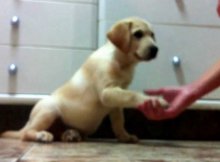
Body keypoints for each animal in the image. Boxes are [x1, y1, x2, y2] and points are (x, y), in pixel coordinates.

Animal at [0, 17, 165, 142]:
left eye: (152, 35)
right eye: (138, 34)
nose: (155, 49)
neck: (121, 61)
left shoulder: (116, 102)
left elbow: (119, 122)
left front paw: (125, 137)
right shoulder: (107, 93)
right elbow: (133, 95)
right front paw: (155, 100)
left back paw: (70, 134)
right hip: (49, 110)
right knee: (25, 134)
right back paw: (42, 135)